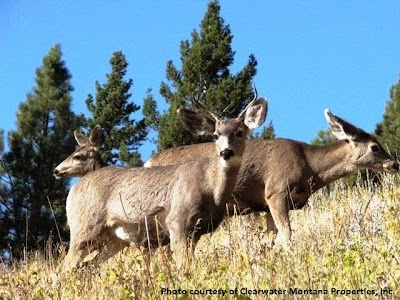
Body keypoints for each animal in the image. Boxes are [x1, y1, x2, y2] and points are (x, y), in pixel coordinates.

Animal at [57, 90, 268, 270]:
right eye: (216, 135)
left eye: (240, 132)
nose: (226, 152)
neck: (211, 188)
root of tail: (74, 190)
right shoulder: (176, 220)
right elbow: (182, 266)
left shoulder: (196, 232)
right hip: (84, 227)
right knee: (64, 268)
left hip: (113, 239)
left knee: (86, 267)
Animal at [145, 109, 400, 247]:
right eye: (375, 147)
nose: (395, 164)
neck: (310, 167)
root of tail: (148, 162)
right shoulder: (275, 191)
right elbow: (287, 236)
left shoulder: (266, 205)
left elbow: (273, 239)